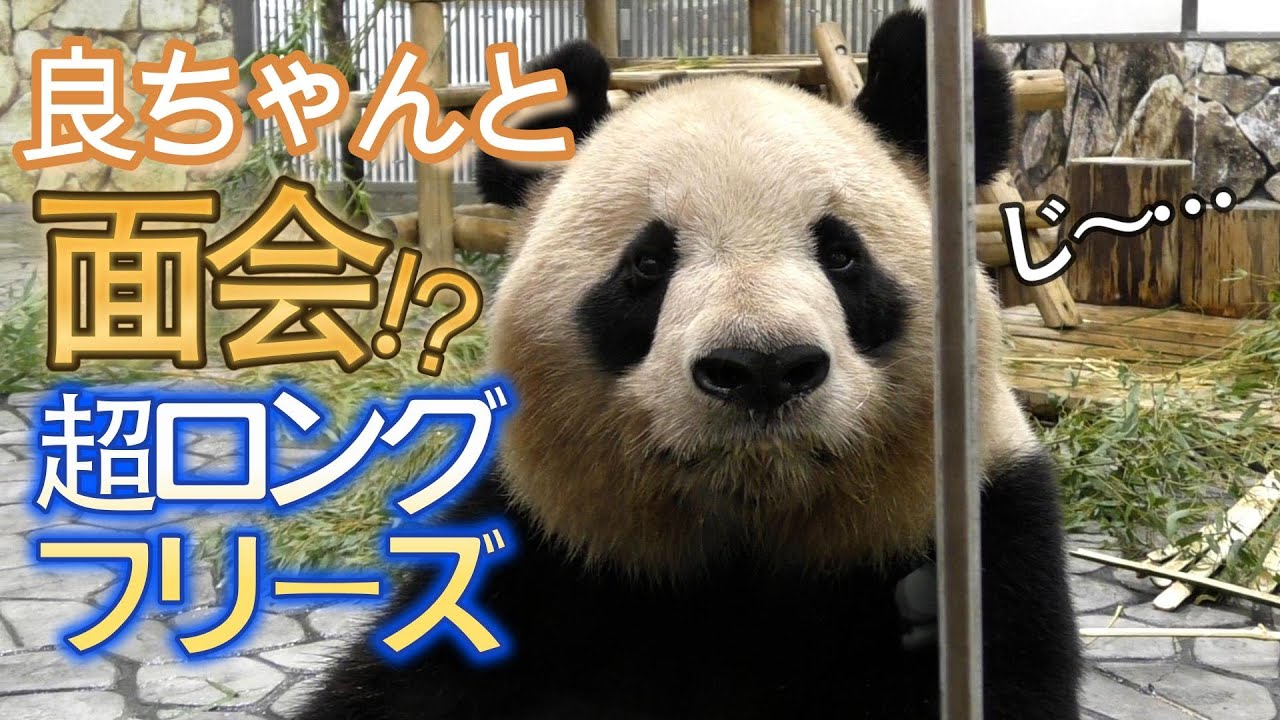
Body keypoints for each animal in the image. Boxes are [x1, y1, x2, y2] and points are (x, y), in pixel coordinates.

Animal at [298, 9, 1080, 719]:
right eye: (647, 263)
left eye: (842, 254)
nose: (762, 367)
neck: (745, 544)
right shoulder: (537, 552)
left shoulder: (983, 538)